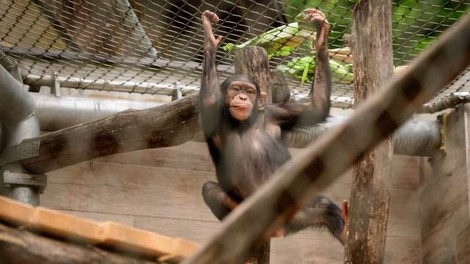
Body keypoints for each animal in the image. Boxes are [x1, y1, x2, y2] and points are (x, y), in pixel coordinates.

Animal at [199, 8, 348, 243]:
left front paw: (321, 36)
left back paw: (343, 230)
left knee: (323, 206)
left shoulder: (277, 114)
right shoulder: (214, 112)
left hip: (296, 215)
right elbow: (209, 98)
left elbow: (317, 107)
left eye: (250, 91)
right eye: (236, 89)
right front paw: (210, 40)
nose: (242, 97)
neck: (246, 122)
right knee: (210, 190)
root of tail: (278, 227)